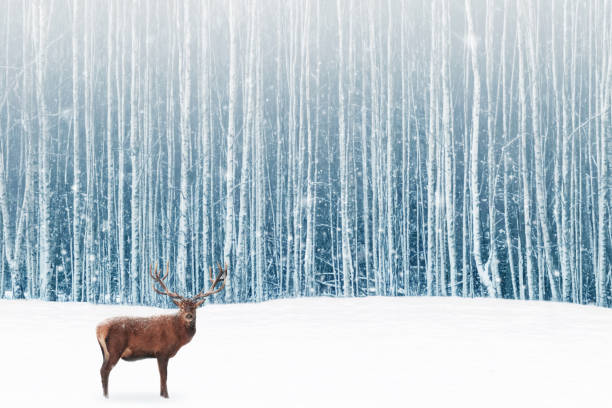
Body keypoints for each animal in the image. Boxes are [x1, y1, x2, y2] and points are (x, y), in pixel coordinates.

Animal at [95, 262, 227, 398]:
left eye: (194, 307)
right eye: (181, 307)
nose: (188, 315)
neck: (178, 337)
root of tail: (99, 328)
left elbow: (162, 378)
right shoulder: (162, 352)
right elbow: (164, 377)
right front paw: (166, 396)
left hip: (104, 352)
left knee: (101, 370)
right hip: (115, 349)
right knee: (104, 371)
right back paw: (106, 397)